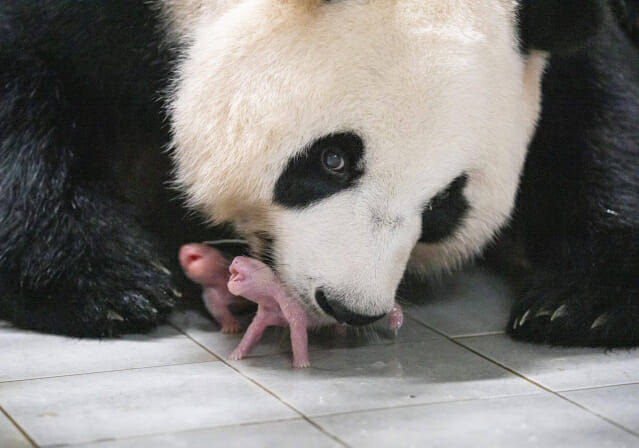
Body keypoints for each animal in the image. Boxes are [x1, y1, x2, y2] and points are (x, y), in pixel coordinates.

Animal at [1, 0, 639, 346]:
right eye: (333, 159)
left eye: (443, 206)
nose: (349, 306)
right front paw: (106, 284)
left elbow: (599, 109)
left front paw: (581, 304)